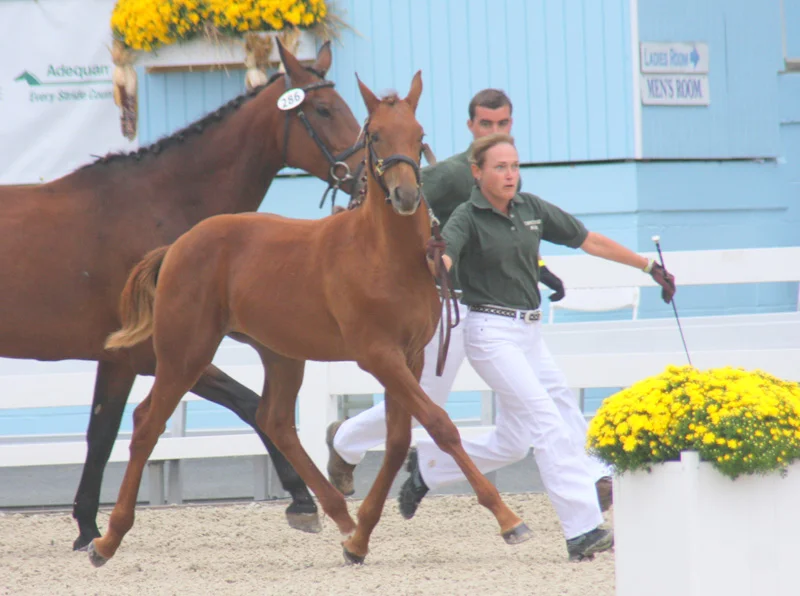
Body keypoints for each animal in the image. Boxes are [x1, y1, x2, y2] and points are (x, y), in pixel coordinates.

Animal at [0, 40, 365, 551]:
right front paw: (301, 501)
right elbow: (248, 405)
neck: (160, 203)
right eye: (324, 109)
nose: (368, 174)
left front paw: (87, 526)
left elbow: (101, 432)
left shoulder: (123, 358)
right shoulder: (156, 354)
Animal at [87, 71, 532, 568]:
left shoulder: (411, 357)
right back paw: (106, 539)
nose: (406, 196)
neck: (384, 255)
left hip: (281, 354)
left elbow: (398, 440)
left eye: (419, 136)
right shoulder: (378, 356)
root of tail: (177, 247)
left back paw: (341, 518)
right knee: (148, 422)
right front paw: (508, 520)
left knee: (276, 420)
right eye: (375, 135)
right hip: (185, 353)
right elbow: (439, 424)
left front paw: (360, 540)